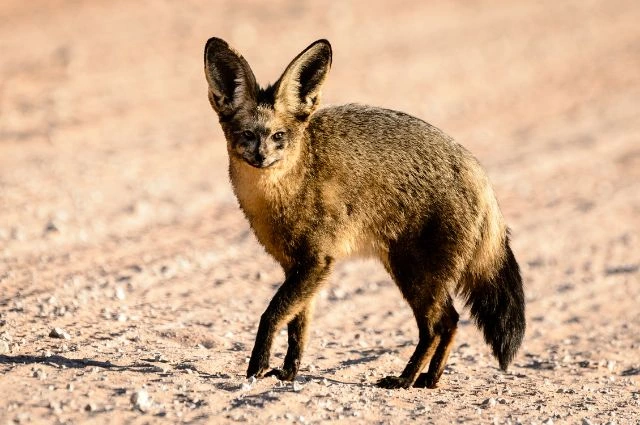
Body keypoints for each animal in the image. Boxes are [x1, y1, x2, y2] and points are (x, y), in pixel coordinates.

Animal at [205, 37, 524, 388]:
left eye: (279, 136)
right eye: (247, 135)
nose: (261, 157)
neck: (286, 191)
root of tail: (479, 173)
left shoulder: (316, 261)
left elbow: (271, 315)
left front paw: (255, 368)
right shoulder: (297, 267)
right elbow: (298, 327)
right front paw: (288, 373)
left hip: (413, 275)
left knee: (436, 328)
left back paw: (404, 380)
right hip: (419, 277)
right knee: (452, 322)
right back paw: (429, 379)